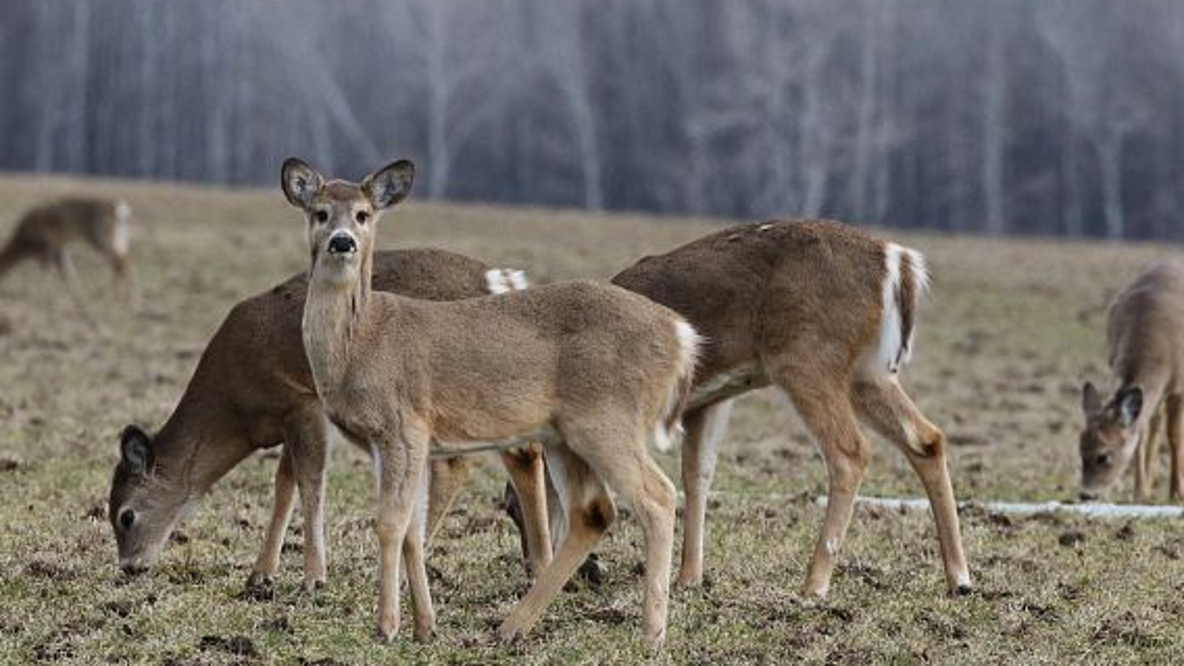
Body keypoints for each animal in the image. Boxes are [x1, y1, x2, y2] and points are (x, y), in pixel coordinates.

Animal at [0, 197, 135, 306]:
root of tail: (120, 209)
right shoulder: (59, 249)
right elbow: (68, 272)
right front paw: (76, 295)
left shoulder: (47, 248)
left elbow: (48, 271)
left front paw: (39, 292)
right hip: (119, 240)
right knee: (123, 261)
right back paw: (122, 296)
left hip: (101, 240)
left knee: (121, 263)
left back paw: (124, 297)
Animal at [109, 248, 554, 596]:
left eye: (125, 515)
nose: (129, 567)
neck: (237, 407)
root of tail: (499, 282)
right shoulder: (288, 418)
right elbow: (284, 484)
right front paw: (260, 575)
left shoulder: (303, 402)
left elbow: (310, 481)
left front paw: (313, 578)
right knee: (523, 452)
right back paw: (537, 568)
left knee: (463, 462)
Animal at [281, 156, 699, 646]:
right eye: (321, 212)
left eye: (363, 214)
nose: (342, 241)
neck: (361, 341)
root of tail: (682, 336)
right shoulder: (400, 443)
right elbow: (412, 530)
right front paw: (425, 626)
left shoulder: (404, 426)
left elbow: (390, 524)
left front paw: (385, 626)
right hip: (564, 435)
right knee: (594, 511)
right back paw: (512, 627)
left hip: (607, 418)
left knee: (658, 497)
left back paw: (651, 632)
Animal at [487, 220, 971, 599]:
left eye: (510, 509)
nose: (534, 573)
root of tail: (900, 262)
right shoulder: (711, 399)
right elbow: (697, 475)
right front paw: (689, 577)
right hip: (867, 371)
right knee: (927, 438)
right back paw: (959, 578)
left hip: (807, 358)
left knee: (850, 452)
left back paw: (813, 585)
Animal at [1079, 261, 1184, 502]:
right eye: (1080, 449)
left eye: (1103, 455)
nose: (1086, 495)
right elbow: (1140, 434)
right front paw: (1140, 491)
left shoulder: (1179, 387)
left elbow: (1175, 435)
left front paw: (1177, 492)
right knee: (1154, 423)